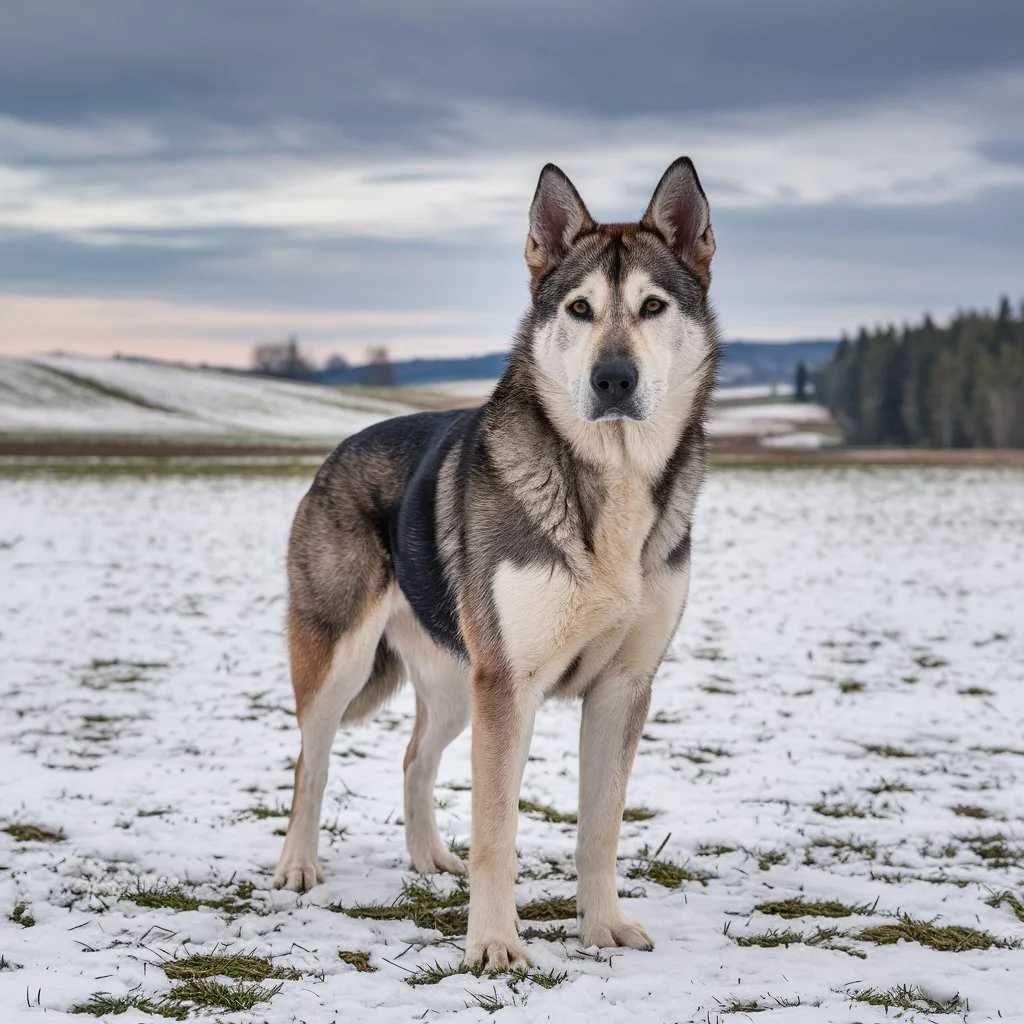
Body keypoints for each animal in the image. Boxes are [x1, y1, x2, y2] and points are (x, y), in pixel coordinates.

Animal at [272, 157, 720, 966]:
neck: (608, 481)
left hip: (456, 682)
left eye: (652, 306)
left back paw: (428, 860)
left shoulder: (622, 687)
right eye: (579, 308)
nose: (613, 380)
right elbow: (497, 833)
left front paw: (602, 928)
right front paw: (492, 946)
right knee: (309, 761)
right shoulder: (510, 685)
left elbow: (601, 830)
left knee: (414, 758)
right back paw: (297, 866)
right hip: (344, 662)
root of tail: (338, 450)